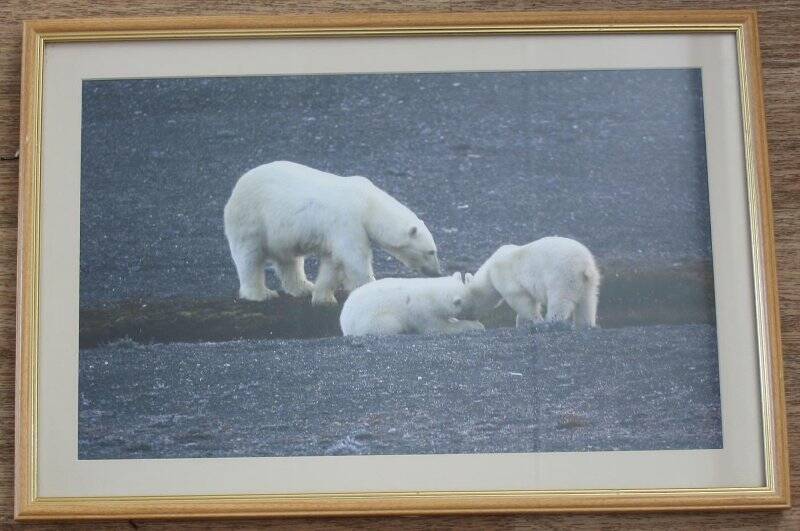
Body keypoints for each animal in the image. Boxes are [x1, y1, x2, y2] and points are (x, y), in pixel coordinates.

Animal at [222, 160, 440, 306]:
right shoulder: (347, 221)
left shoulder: (336, 233)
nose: (437, 272)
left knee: (289, 260)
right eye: (431, 252)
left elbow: (333, 262)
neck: (367, 205)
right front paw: (369, 287)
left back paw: (303, 287)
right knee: (249, 257)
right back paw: (261, 293)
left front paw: (323, 297)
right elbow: (354, 257)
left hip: (281, 232)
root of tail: (237, 187)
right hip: (252, 218)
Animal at [340, 274, 484, 336]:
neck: (432, 294)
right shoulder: (423, 311)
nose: (476, 317)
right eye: (471, 307)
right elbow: (438, 327)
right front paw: (476, 326)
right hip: (372, 320)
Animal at [462, 238, 600, 328]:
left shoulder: (505, 276)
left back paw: (552, 321)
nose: (468, 317)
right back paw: (586, 324)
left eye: (465, 302)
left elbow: (521, 300)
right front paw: (521, 323)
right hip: (589, 281)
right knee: (588, 302)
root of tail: (584, 265)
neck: (489, 272)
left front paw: (536, 321)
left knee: (560, 300)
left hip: (563, 275)